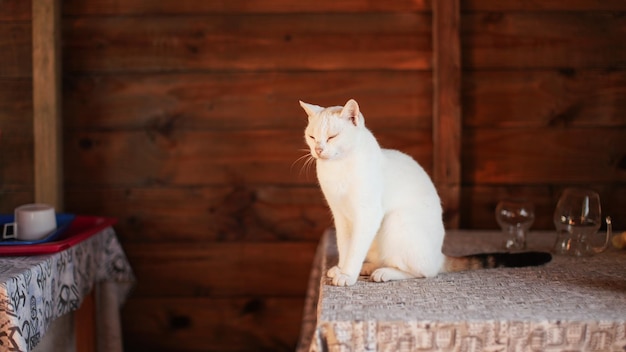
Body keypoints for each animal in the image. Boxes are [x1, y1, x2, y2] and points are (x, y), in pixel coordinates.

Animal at [298, 98, 544, 286]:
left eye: (332, 137)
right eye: (312, 137)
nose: (318, 149)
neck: (338, 169)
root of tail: (439, 255)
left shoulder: (367, 214)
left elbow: (355, 248)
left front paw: (347, 274)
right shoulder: (341, 217)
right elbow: (344, 246)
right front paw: (341, 268)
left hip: (394, 221)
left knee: (424, 272)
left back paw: (383, 273)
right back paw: (370, 267)